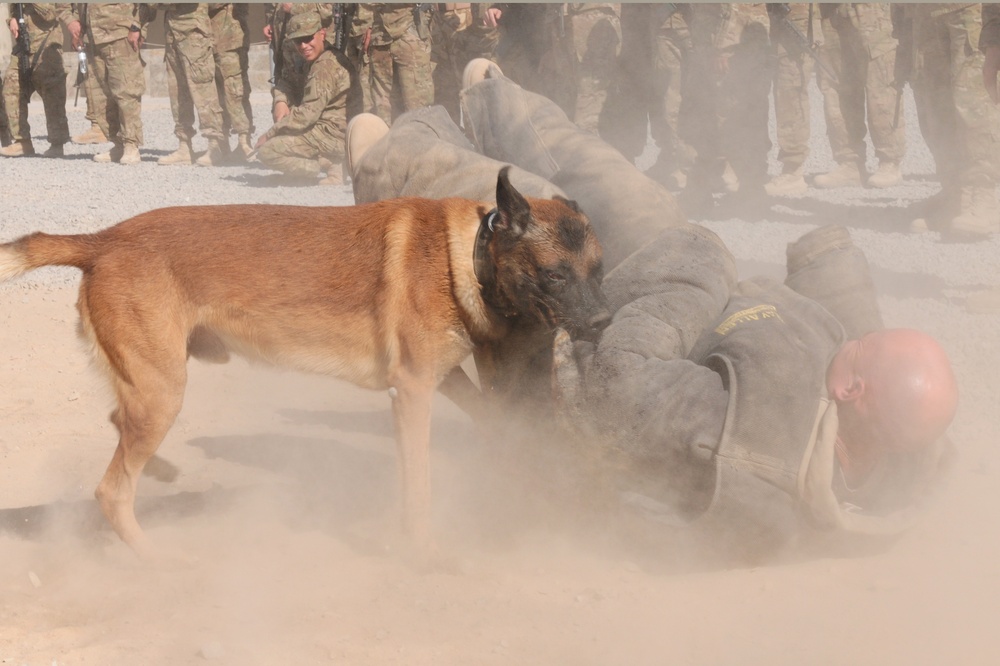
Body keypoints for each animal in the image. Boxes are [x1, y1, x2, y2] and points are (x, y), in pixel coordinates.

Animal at [0, 169, 608, 556]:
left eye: (599, 271)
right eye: (555, 276)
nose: (603, 322)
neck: (469, 257)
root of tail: (102, 240)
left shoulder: (440, 376)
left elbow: (489, 412)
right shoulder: (412, 391)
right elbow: (419, 484)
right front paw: (423, 550)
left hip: (153, 385)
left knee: (118, 427)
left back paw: (163, 472)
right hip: (162, 392)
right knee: (112, 489)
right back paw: (154, 556)